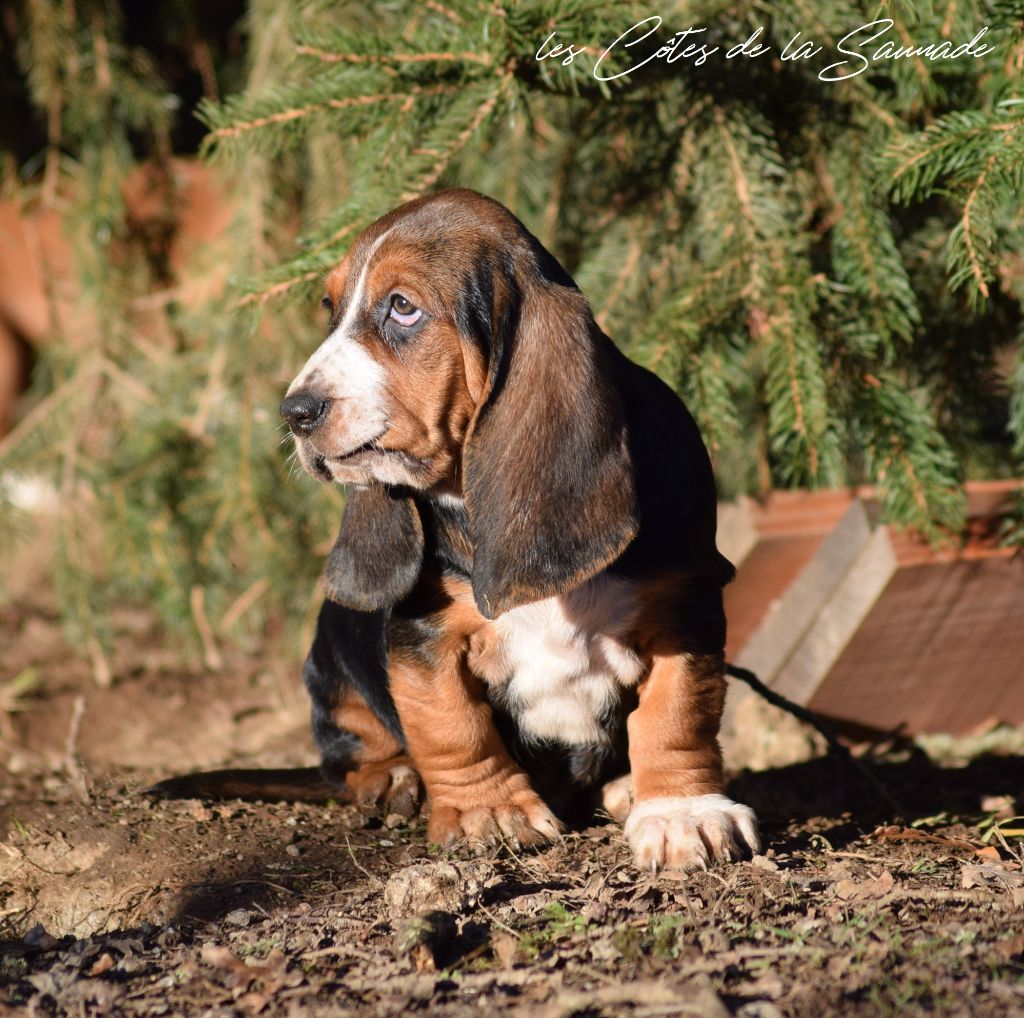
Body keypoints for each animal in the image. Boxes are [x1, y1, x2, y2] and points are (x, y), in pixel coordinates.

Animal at [280, 186, 761, 868]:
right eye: (330, 309)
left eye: (402, 307)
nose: (294, 411)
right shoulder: (422, 635)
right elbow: (451, 724)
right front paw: (488, 811)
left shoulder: (685, 604)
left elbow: (677, 713)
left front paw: (681, 812)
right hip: (331, 656)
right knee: (350, 749)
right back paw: (392, 778)